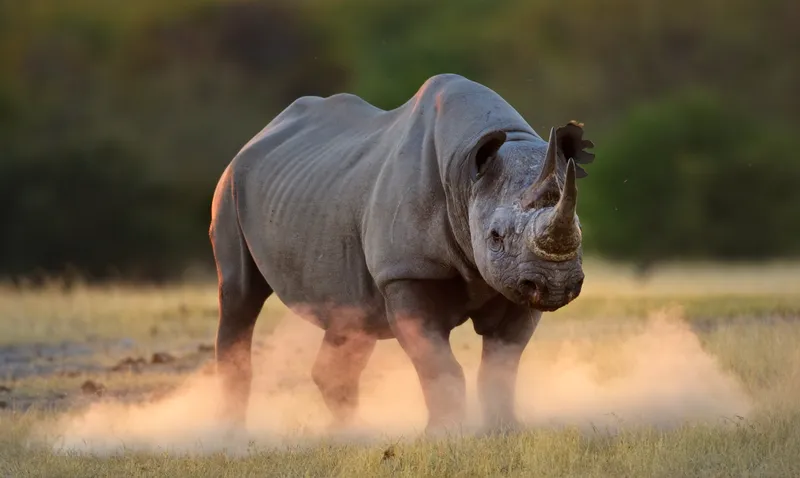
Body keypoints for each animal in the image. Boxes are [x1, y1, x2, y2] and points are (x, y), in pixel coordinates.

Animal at [209, 73, 595, 432]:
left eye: (579, 229)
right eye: (496, 237)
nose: (555, 284)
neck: (464, 176)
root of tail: (257, 136)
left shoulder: (514, 282)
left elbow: (502, 363)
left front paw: (505, 431)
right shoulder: (406, 272)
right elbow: (437, 362)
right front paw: (446, 434)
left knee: (351, 317)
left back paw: (351, 434)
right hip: (229, 187)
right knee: (241, 297)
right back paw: (231, 435)